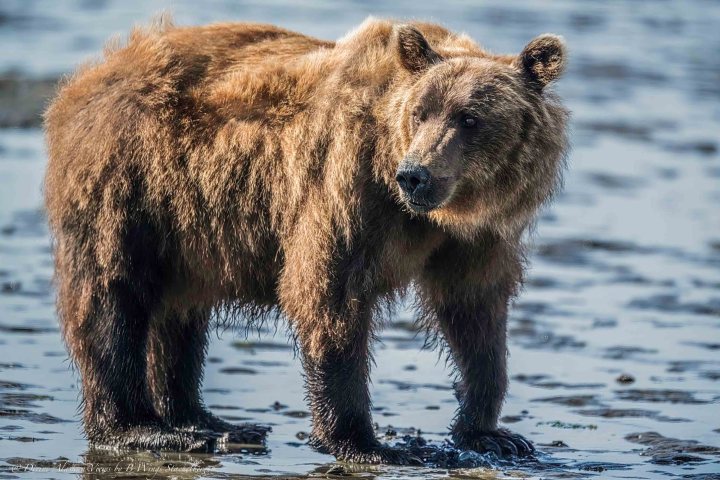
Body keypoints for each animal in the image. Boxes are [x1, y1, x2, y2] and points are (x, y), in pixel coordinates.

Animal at [44, 16, 568, 465]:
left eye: (470, 118)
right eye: (420, 113)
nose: (415, 175)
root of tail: (88, 77)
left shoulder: (477, 238)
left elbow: (475, 314)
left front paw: (493, 434)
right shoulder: (347, 188)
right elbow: (330, 294)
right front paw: (368, 443)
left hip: (189, 222)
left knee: (179, 313)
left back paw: (206, 421)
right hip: (131, 185)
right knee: (113, 299)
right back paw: (143, 428)